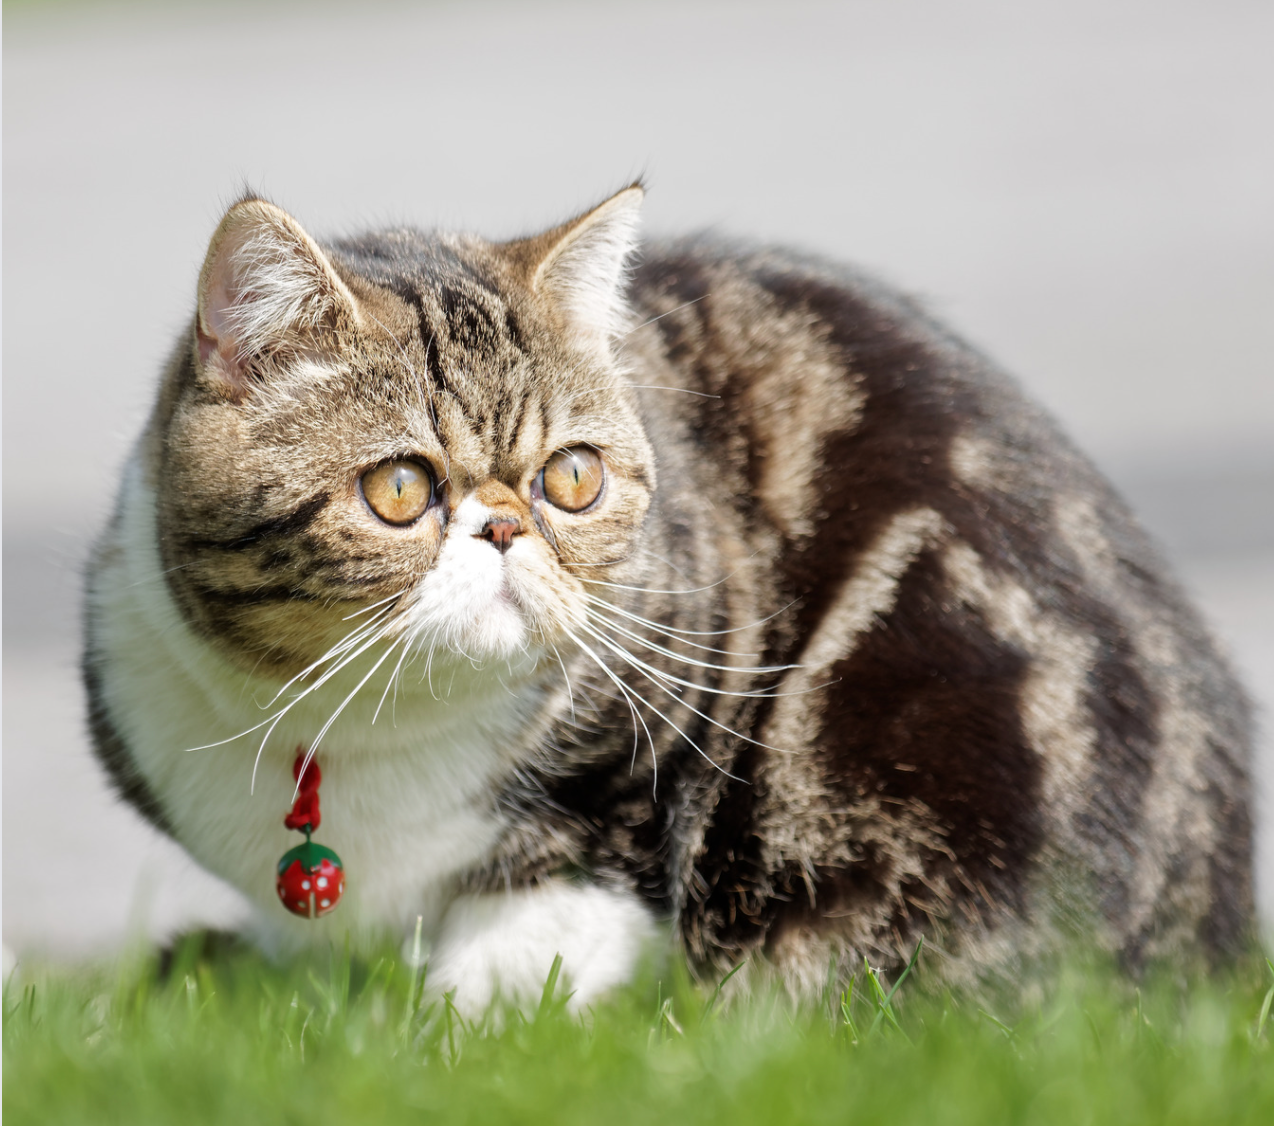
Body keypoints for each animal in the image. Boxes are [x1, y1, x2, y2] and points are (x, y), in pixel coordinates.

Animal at [82, 184, 1253, 1013]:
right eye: (401, 489)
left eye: (571, 477)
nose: (503, 525)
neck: (370, 724)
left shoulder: (647, 759)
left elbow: (534, 939)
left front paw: (445, 1027)